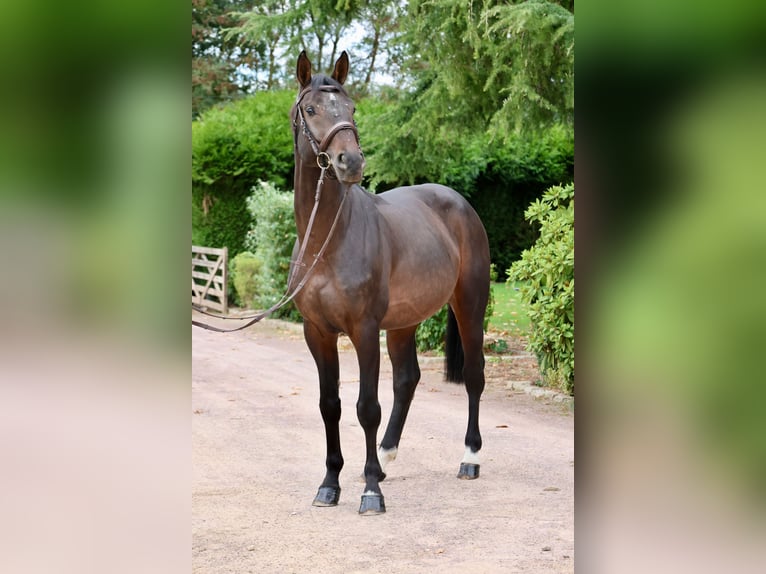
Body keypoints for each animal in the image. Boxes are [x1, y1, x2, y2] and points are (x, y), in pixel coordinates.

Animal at [288, 50, 490, 515]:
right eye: (312, 109)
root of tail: (459, 202)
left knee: (474, 375)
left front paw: (369, 493)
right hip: (403, 323)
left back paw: (469, 458)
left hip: (470, 305)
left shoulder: (363, 331)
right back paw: (384, 455)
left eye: (352, 108)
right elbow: (330, 405)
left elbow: (366, 407)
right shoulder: (317, 332)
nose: (350, 162)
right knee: (407, 379)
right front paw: (330, 484)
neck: (327, 242)